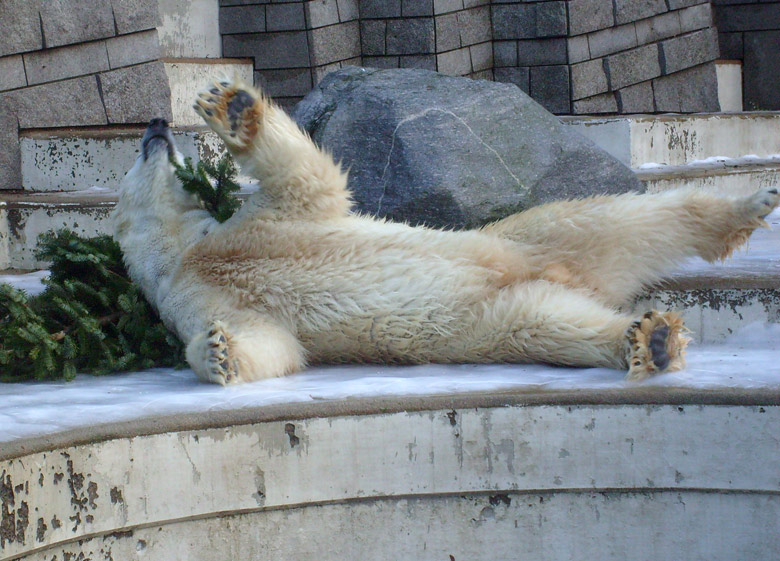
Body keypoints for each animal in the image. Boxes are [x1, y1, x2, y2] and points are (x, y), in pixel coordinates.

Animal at [112, 77, 780, 384]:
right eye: (134, 162)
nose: (153, 125)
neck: (188, 253)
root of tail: (568, 274)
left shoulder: (266, 221)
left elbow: (307, 178)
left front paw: (229, 106)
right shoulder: (196, 299)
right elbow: (270, 343)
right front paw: (218, 353)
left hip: (526, 234)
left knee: (617, 219)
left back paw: (748, 204)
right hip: (497, 317)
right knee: (559, 322)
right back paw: (650, 340)